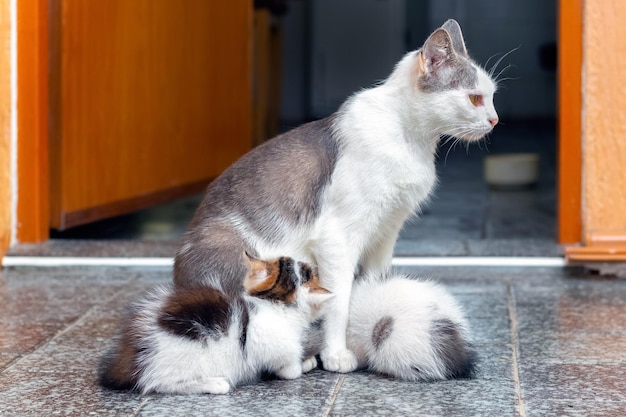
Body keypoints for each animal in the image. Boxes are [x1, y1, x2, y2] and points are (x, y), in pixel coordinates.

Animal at [97, 254, 332, 394]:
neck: (275, 303)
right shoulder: (276, 350)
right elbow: (289, 370)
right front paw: (303, 364)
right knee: (158, 383)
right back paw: (214, 384)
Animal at [173, 18, 494, 374]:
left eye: (492, 96)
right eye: (475, 99)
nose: (494, 120)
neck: (410, 141)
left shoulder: (387, 231)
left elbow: (371, 283)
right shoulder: (337, 238)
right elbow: (337, 300)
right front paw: (337, 353)